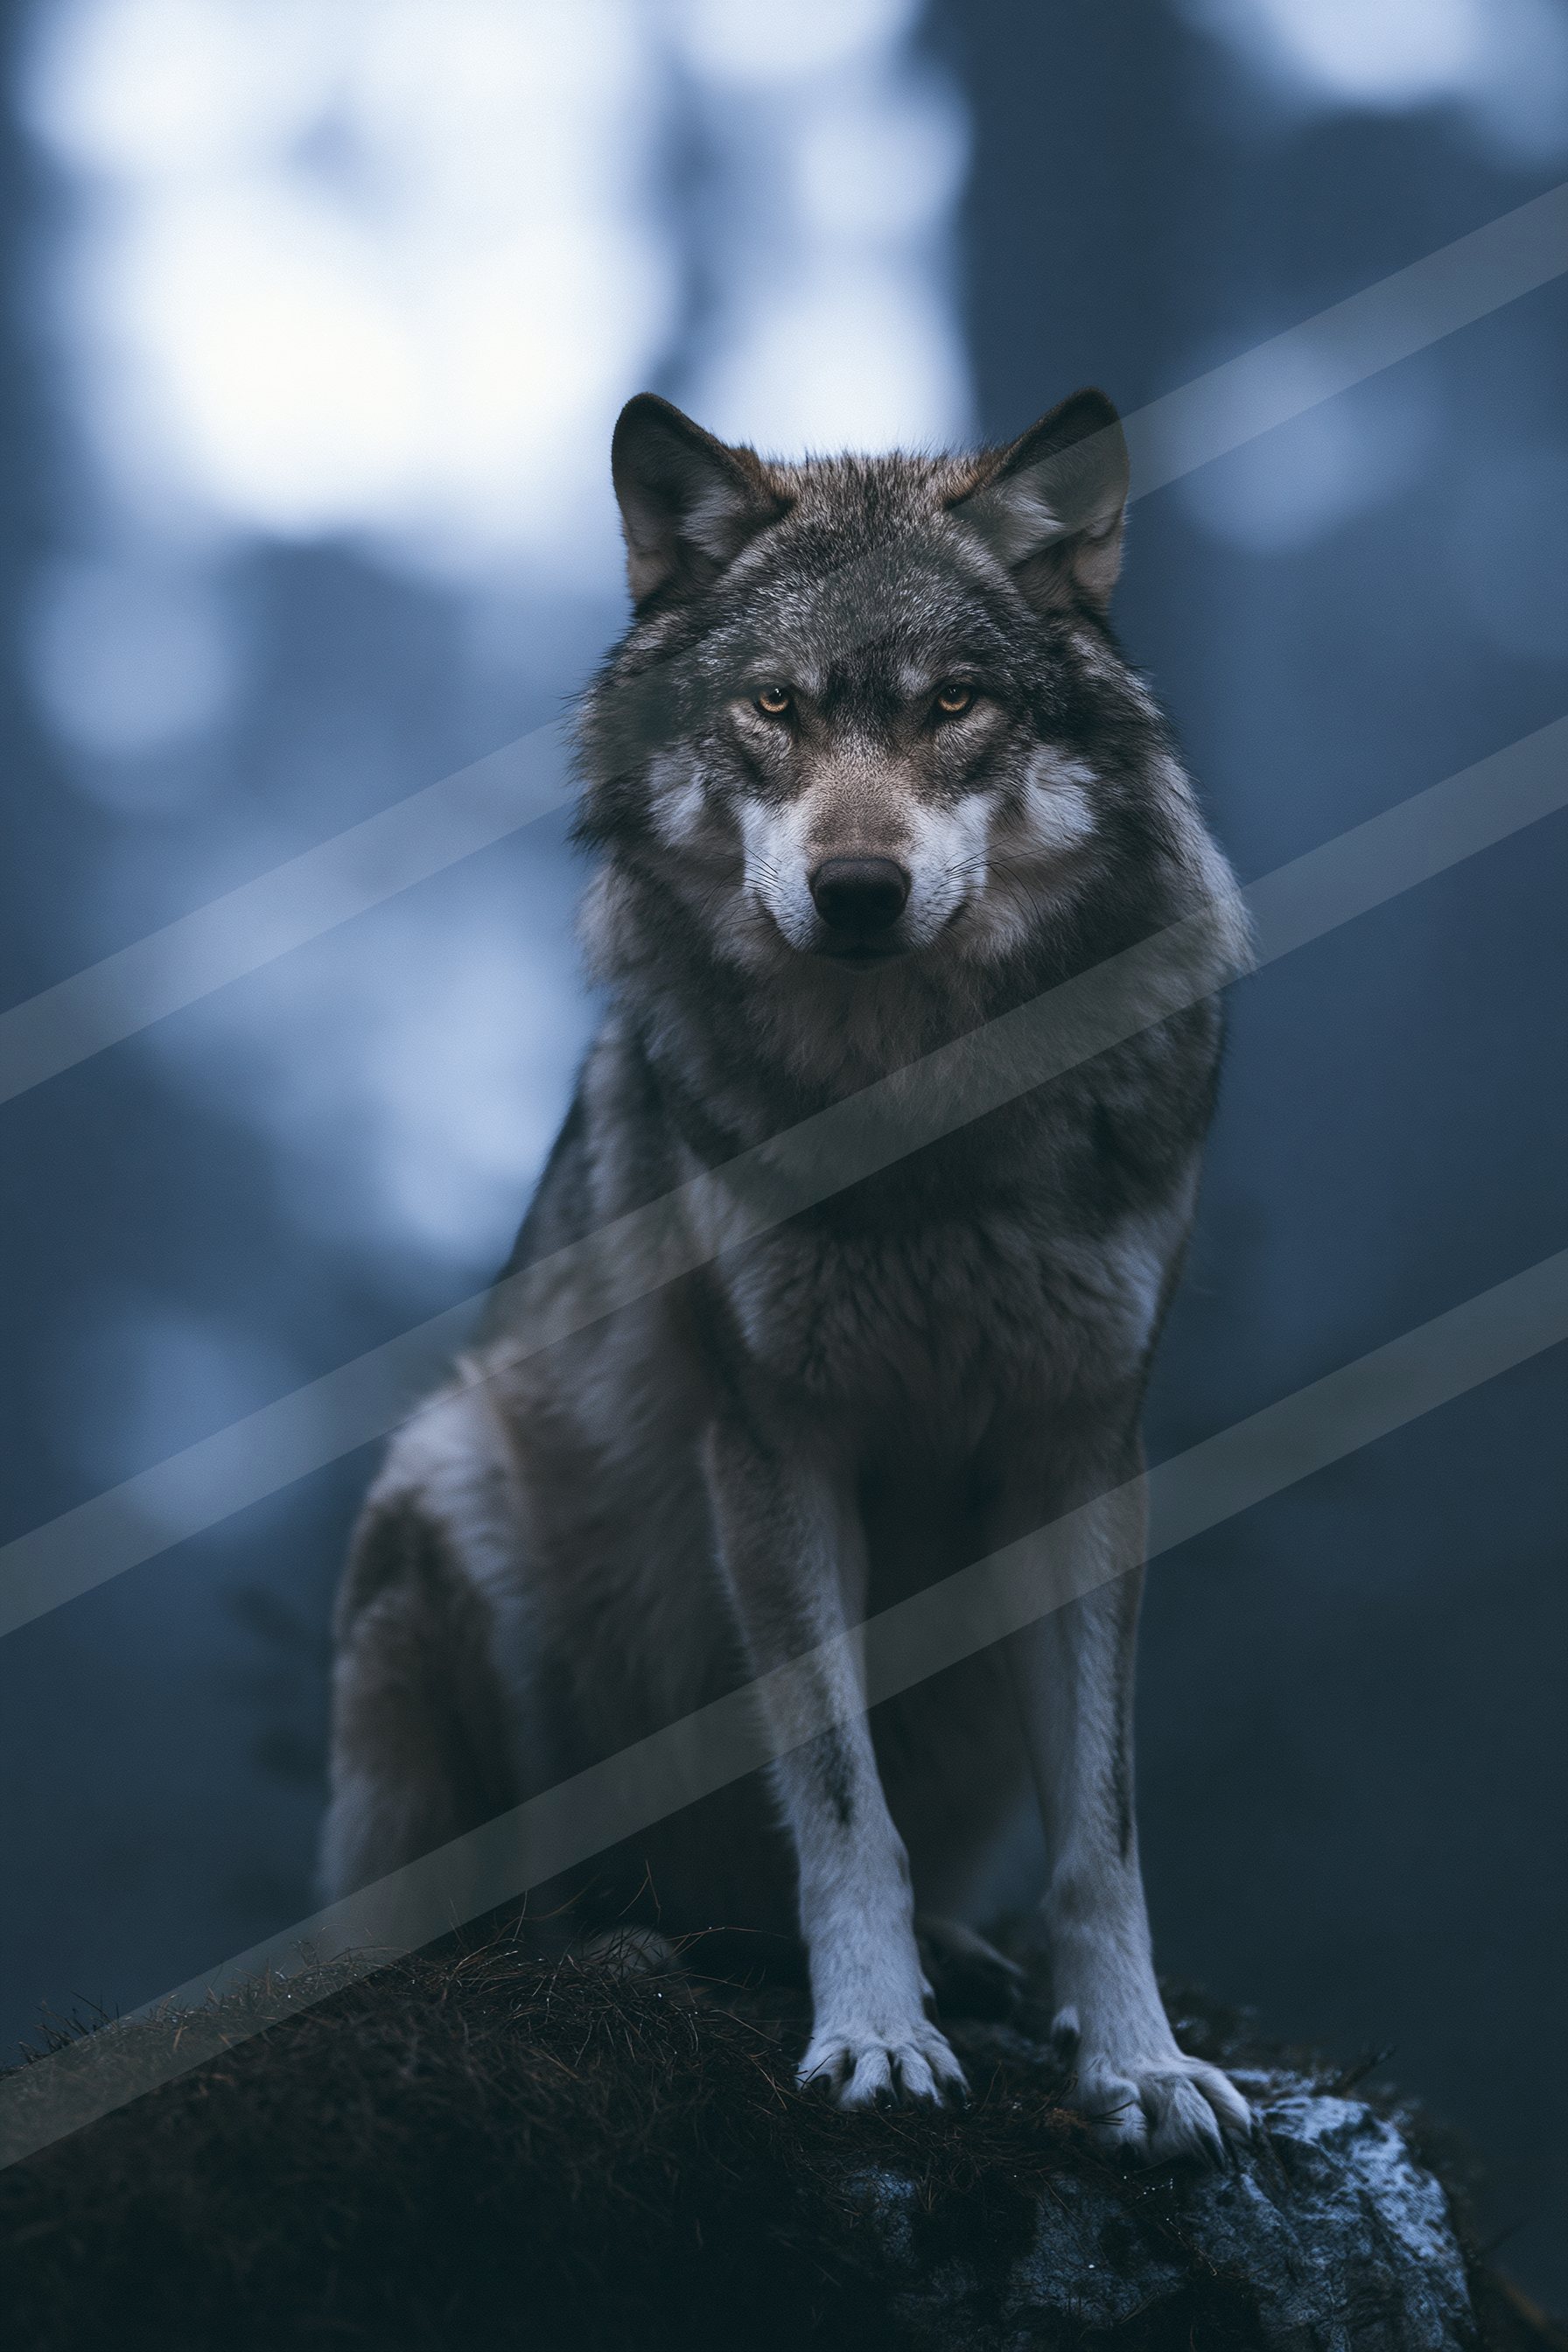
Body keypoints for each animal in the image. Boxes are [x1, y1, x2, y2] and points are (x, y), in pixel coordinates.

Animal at [321, 387, 1255, 2159]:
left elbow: (1100, 1835)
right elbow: (835, 1800)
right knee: (500, 1931)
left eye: (952, 702)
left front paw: (1142, 2062)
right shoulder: (773, 1447)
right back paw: (622, 1954)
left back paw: (964, 1962)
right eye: (773, 706)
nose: (858, 888)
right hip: (456, 1502)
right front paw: (875, 2039)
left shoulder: (1082, 1448)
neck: (920, 1123)